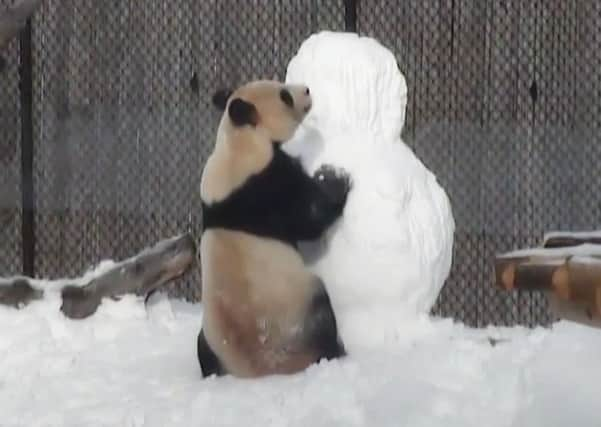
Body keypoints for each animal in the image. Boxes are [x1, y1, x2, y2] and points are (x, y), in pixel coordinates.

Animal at [196, 79, 352, 378]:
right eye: (284, 96)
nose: (307, 90)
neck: (239, 141)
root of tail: (262, 370)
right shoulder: (268, 185)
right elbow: (310, 216)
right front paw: (335, 177)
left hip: (210, 336)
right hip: (299, 305)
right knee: (322, 315)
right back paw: (334, 351)